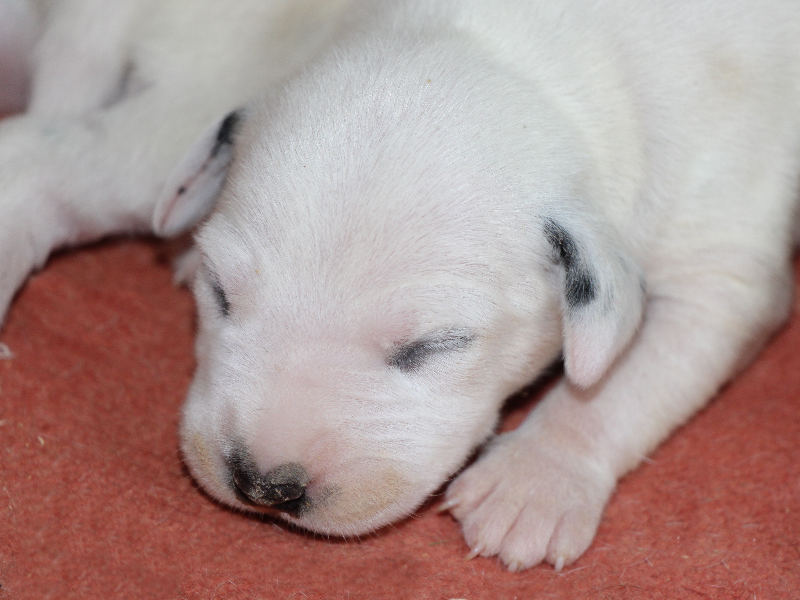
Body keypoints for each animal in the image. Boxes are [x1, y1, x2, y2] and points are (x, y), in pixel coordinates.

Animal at [1, 0, 798, 572]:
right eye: (222, 294)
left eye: (436, 345)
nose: (265, 484)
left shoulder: (722, 259)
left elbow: (625, 381)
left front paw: (532, 481)